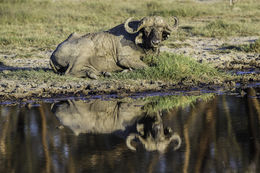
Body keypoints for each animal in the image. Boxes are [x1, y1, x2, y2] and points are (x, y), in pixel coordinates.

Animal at [49, 16, 178, 78]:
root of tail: (53, 54)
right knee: (70, 72)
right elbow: (146, 67)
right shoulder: (125, 59)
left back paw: (104, 73)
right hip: (84, 50)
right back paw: (94, 75)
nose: (155, 42)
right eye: (146, 30)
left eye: (161, 30)